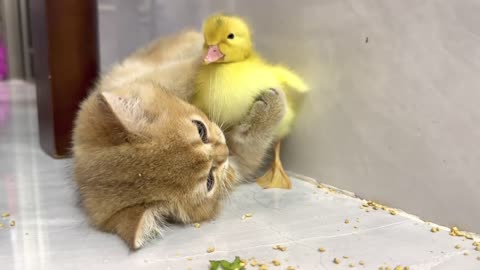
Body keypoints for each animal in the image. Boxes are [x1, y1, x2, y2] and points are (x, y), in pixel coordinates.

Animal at [69, 31, 284, 249]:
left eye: (200, 129)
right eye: (209, 181)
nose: (225, 150)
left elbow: (185, 71)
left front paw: (210, 53)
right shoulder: (237, 167)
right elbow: (249, 147)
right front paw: (273, 108)